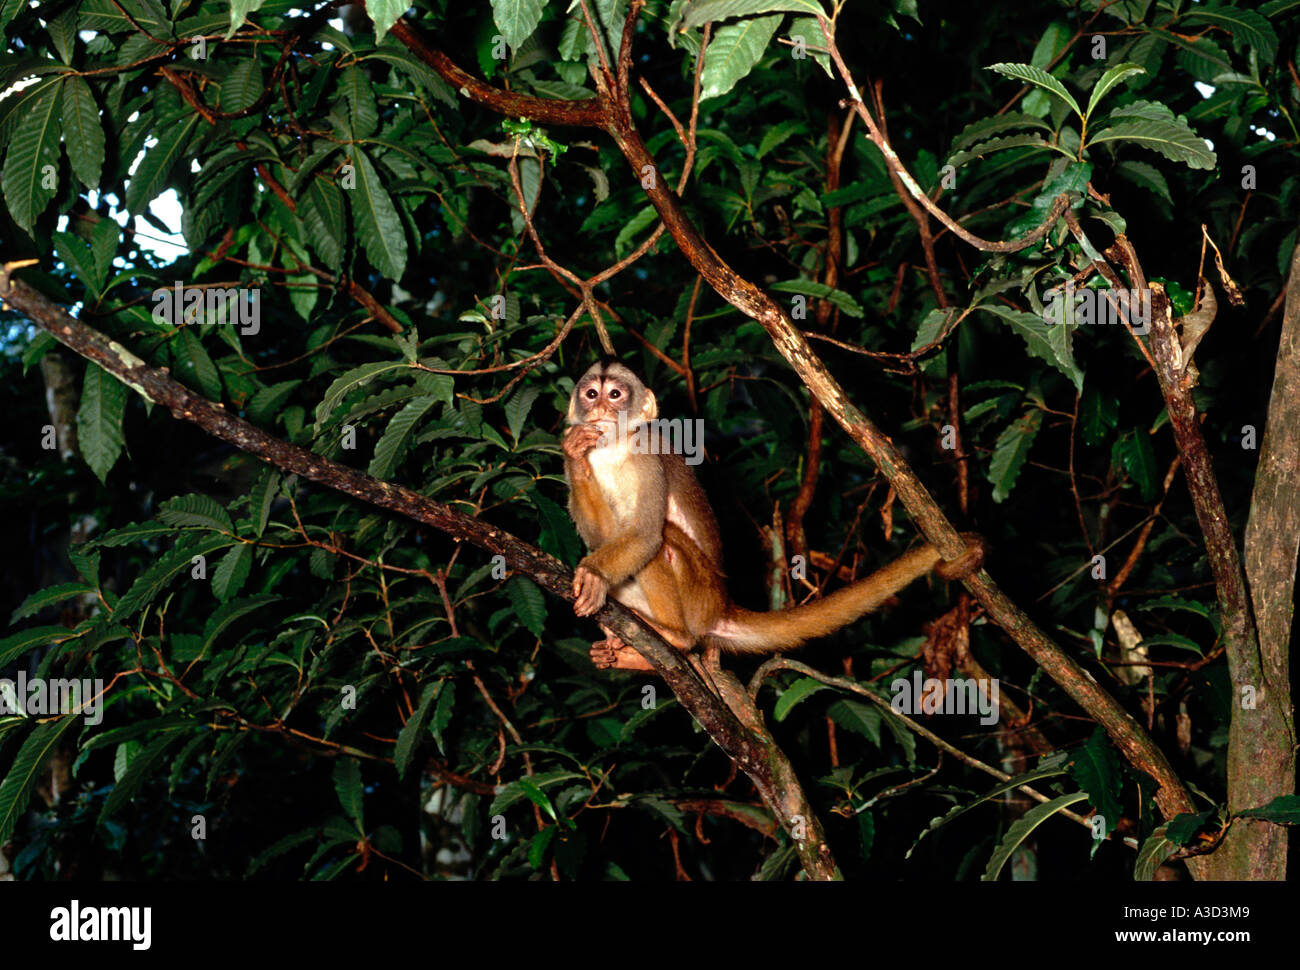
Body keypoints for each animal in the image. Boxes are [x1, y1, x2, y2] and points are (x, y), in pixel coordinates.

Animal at [561, 358, 982, 670]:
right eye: (591, 394)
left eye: (615, 394)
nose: (599, 409)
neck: (614, 449)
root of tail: (723, 606)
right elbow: (600, 536)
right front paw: (576, 454)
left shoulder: (648, 454)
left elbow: (646, 535)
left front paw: (594, 575)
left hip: (700, 595)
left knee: (664, 542)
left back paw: (674, 636)